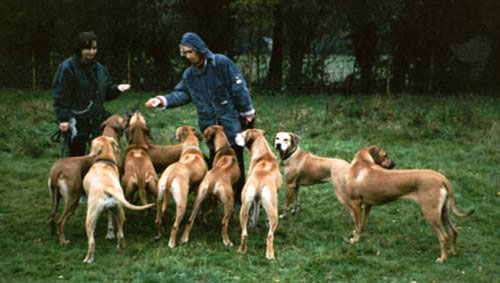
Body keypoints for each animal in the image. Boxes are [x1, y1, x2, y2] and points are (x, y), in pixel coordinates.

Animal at [82, 136, 153, 266]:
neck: (105, 161)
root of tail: (108, 188)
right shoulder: (111, 209)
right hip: (119, 211)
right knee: (121, 234)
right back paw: (120, 247)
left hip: (90, 216)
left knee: (92, 242)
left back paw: (88, 259)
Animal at [234, 130, 282, 260]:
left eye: (242, 134)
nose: (235, 135)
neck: (264, 153)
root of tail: (260, 180)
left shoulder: (256, 200)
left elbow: (255, 215)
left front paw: (254, 225)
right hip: (273, 210)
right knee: (270, 236)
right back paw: (270, 255)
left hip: (244, 208)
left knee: (244, 234)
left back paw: (242, 250)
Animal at [346, 146, 474, 264]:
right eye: (385, 155)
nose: (394, 163)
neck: (362, 162)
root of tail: (441, 178)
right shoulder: (368, 204)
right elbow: (363, 221)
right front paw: (361, 231)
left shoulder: (355, 203)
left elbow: (357, 224)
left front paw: (355, 239)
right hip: (443, 213)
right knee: (454, 231)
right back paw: (453, 252)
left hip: (430, 213)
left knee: (443, 237)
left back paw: (443, 258)